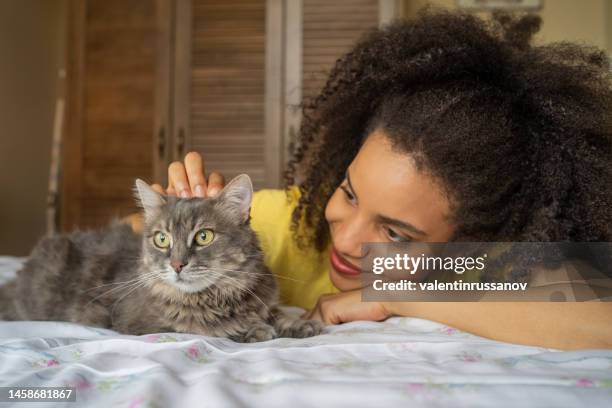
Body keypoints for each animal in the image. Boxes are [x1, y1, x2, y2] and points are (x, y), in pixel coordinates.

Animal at [0, 175, 326, 342]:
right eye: (162, 239)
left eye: (203, 236)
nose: (177, 264)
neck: (218, 297)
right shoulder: (144, 325)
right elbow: (206, 328)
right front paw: (254, 330)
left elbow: (277, 312)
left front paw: (300, 324)